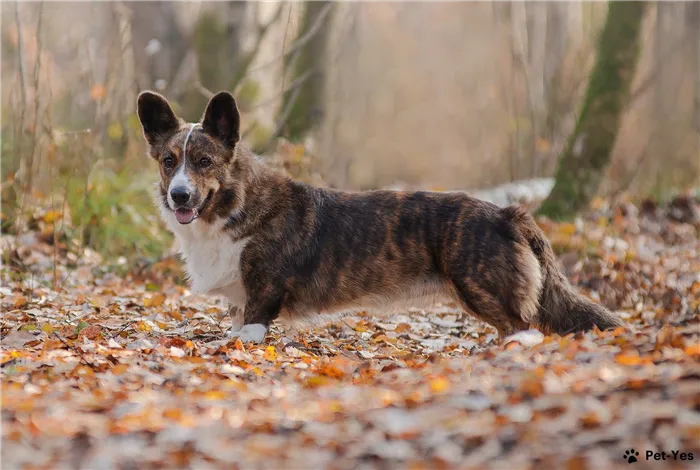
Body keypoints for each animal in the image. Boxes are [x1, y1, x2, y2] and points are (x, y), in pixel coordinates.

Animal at [137, 90, 624, 344]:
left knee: (525, 330)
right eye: (169, 161)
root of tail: (508, 212)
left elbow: (248, 334)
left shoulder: (261, 301)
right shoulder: (240, 303)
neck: (233, 205)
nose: (179, 196)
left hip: (481, 289)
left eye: (204, 161)